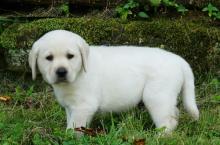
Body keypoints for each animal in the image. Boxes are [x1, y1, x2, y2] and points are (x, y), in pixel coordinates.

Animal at [28, 29, 199, 134]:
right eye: (49, 58)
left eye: (70, 56)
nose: (61, 72)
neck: (79, 72)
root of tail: (179, 60)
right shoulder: (71, 107)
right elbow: (71, 123)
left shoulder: (84, 106)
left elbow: (75, 127)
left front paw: (69, 138)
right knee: (174, 114)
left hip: (157, 97)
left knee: (167, 121)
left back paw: (159, 137)